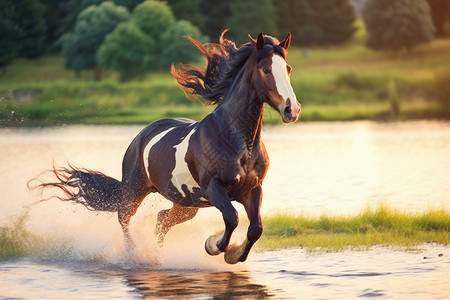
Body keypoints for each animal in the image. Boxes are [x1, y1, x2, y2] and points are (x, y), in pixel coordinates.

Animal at [35, 31, 300, 264]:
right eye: (266, 69)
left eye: (288, 68)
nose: (292, 110)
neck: (235, 140)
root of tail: (142, 134)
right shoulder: (214, 188)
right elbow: (232, 218)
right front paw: (213, 245)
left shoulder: (252, 189)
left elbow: (256, 228)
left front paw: (232, 255)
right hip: (135, 189)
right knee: (124, 217)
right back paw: (134, 254)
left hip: (186, 203)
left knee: (162, 220)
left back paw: (156, 256)